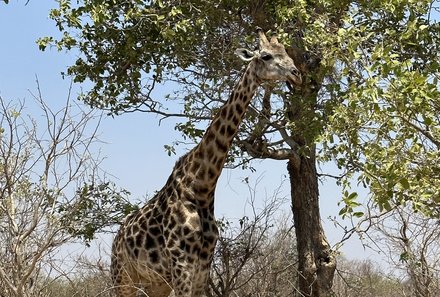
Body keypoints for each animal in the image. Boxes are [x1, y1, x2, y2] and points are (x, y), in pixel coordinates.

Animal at [111, 28, 300, 296]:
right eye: (266, 56)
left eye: (285, 51)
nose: (296, 74)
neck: (201, 186)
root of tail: (116, 238)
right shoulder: (181, 265)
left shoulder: (203, 267)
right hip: (123, 277)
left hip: (155, 282)